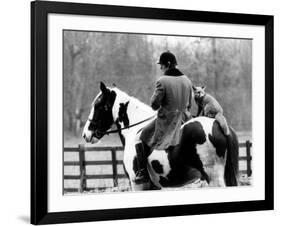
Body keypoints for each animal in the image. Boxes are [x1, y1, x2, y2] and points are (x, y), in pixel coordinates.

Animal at [82, 82, 237, 191]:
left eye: (98, 105)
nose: (85, 134)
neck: (133, 129)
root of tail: (219, 123)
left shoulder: (137, 185)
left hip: (213, 176)